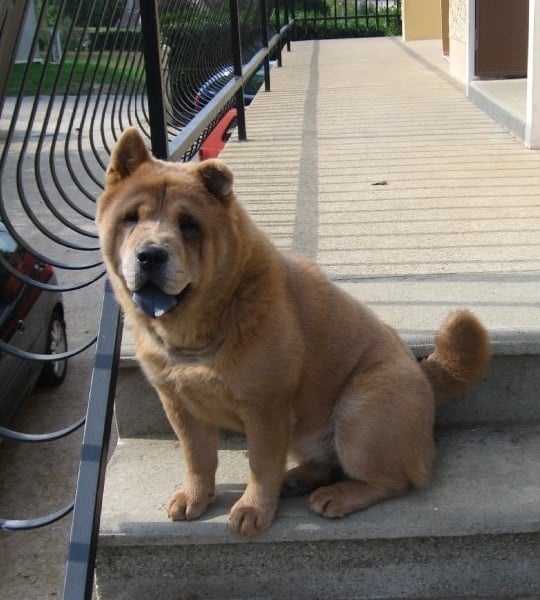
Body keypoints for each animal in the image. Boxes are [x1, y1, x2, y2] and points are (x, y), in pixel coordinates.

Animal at [97, 127, 490, 537]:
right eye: (130, 218)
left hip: (360, 414)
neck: (194, 333)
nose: (150, 254)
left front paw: (253, 509)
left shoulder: (265, 407)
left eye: (189, 225)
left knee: (393, 479)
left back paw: (337, 495)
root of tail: (423, 374)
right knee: (328, 461)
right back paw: (299, 477)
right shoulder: (178, 403)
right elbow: (199, 458)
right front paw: (195, 497)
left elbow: (260, 464)